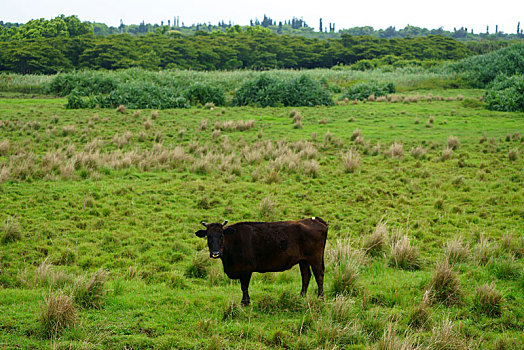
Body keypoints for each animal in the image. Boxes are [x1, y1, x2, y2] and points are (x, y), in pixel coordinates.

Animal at [195, 217, 328, 304]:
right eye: (208, 237)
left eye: (221, 236)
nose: (215, 253)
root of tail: (314, 220)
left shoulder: (246, 269)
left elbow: (244, 286)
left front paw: (245, 302)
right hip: (303, 260)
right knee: (306, 276)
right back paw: (301, 296)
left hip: (315, 258)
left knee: (319, 275)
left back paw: (320, 298)